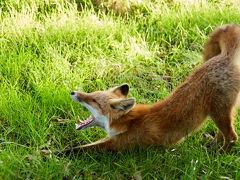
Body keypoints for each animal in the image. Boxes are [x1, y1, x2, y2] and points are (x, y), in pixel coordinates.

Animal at [56, 24, 240, 155]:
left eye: (93, 100)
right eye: (91, 94)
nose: (73, 92)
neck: (128, 122)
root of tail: (224, 56)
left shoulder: (119, 145)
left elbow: (78, 150)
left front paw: (52, 154)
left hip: (219, 112)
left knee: (232, 137)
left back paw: (219, 154)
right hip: (220, 112)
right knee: (224, 134)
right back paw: (213, 145)